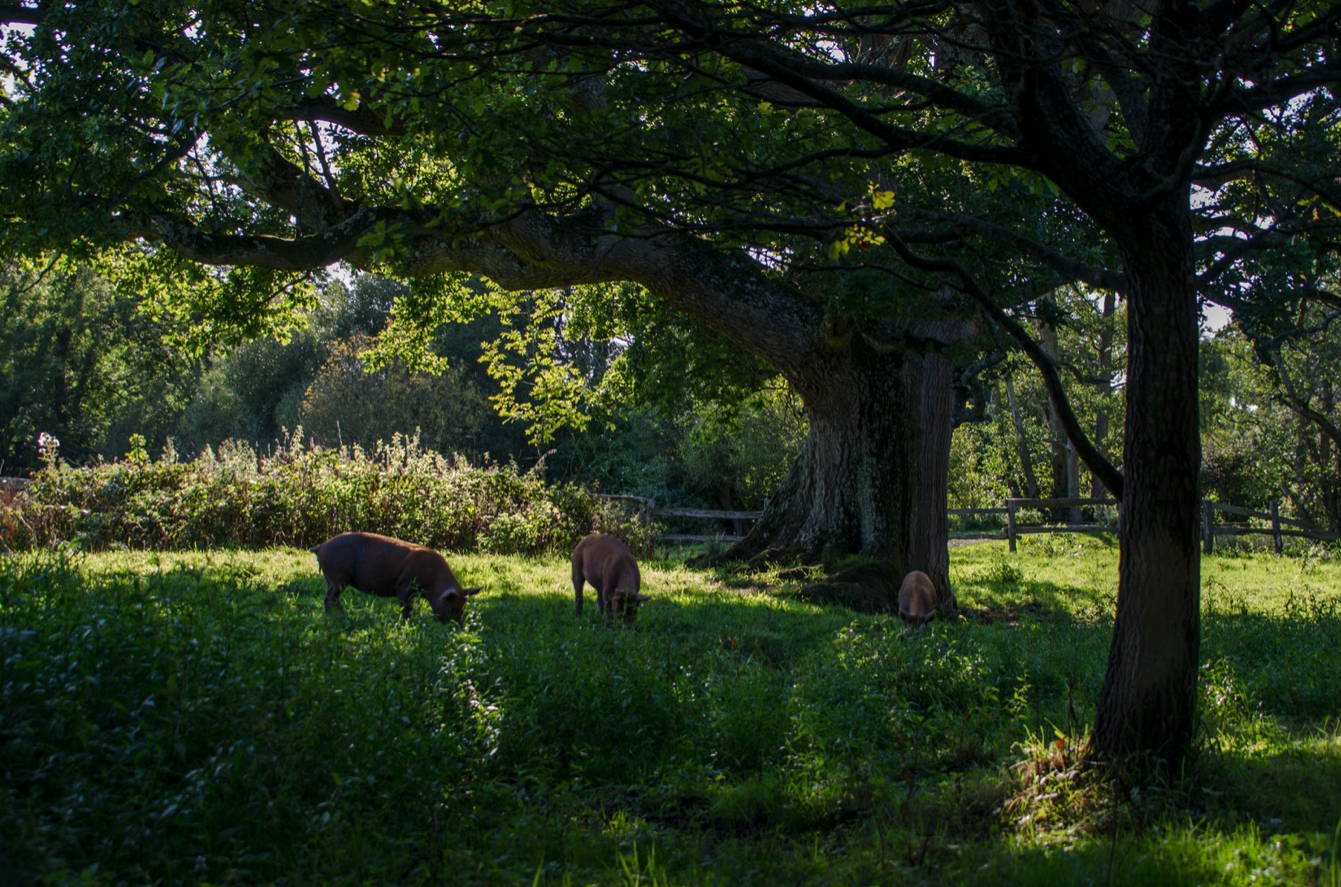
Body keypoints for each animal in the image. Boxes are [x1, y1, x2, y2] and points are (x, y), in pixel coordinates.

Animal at [312, 534, 482, 622]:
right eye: (451, 607)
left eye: (463, 607)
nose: (460, 627)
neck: (433, 582)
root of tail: (321, 547)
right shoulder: (404, 585)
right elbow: (406, 607)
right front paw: (406, 623)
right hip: (337, 577)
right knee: (329, 599)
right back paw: (331, 618)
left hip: (334, 580)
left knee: (333, 599)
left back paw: (345, 615)